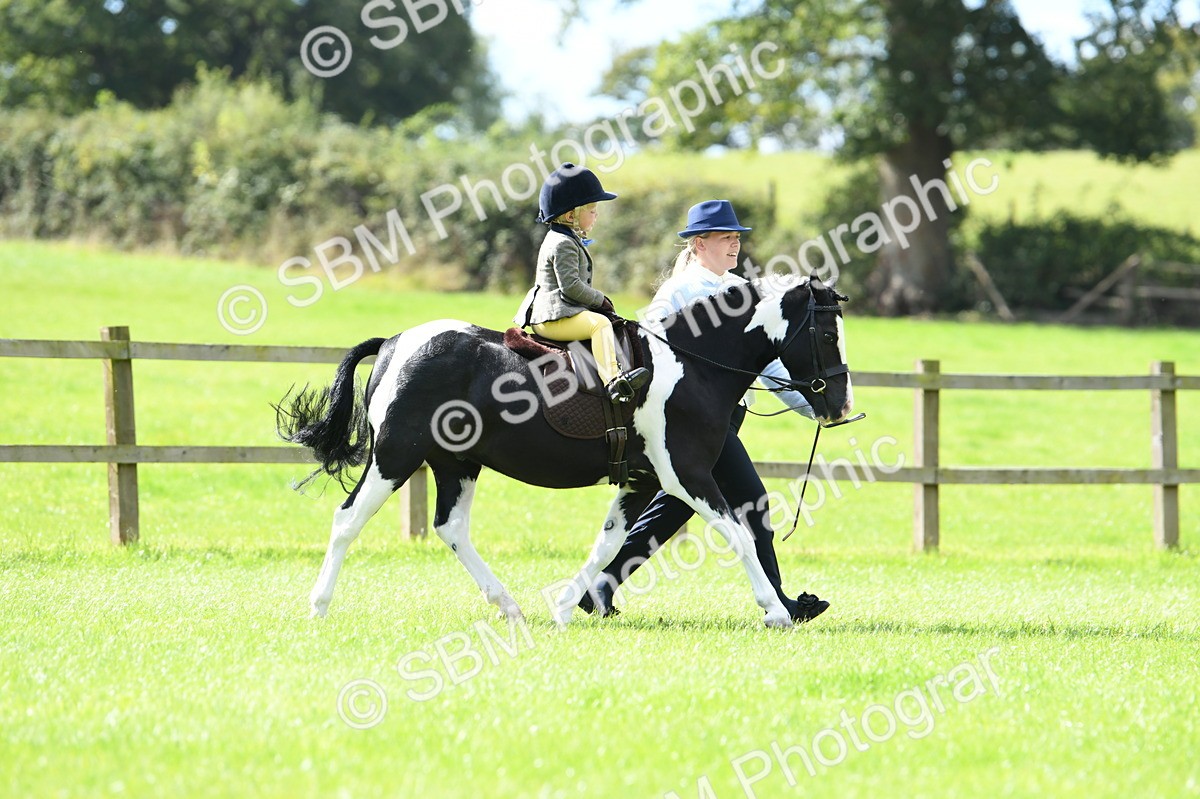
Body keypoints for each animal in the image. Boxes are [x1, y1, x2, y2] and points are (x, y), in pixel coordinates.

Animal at [275, 275, 853, 629]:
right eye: (827, 333)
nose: (840, 404)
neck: (690, 365)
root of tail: (396, 342)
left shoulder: (641, 480)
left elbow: (609, 543)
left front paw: (565, 607)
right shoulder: (686, 474)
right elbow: (738, 534)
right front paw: (776, 612)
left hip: (457, 463)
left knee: (451, 528)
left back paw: (509, 606)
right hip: (395, 457)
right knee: (347, 520)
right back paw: (318, 607)